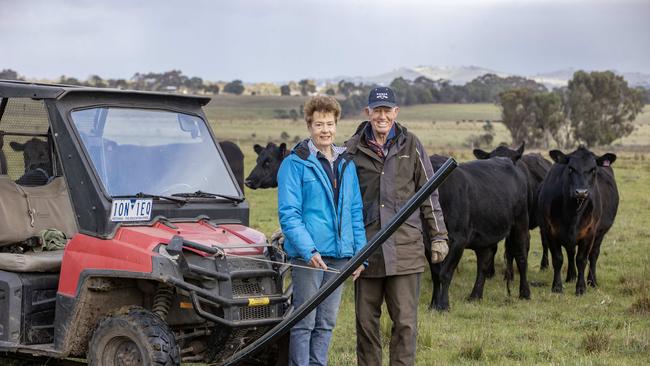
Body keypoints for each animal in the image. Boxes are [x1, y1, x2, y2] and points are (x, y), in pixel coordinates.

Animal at [428, 154, 528, 312]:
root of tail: (507, 160)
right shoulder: (427, 242)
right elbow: (436, 274)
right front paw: (433, 304)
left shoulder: (458, 240)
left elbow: (445, 273)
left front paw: (443, 305)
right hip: (485, 236)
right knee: (483, 263)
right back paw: (475, 295)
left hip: (520, 223)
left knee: (521, 257)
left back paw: (524, 293)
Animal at [536, 146, 620, 294]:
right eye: (570, 168)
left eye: (593, 169)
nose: (581, 192)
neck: (572, 213)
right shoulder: (550, 230)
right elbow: (558, 259)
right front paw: (557, 286)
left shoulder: (589, 232)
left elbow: (582, 260)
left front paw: (581, 288)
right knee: (571, 253)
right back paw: (571, 277)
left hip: (600, 233)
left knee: (593, 255)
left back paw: (592, 281)